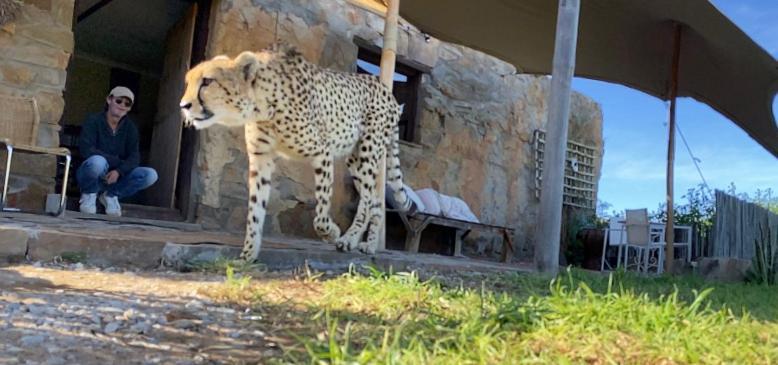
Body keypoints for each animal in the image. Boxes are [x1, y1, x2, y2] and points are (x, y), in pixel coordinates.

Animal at [179, 44, 412, 262]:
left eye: (207, 82)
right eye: (187, 82)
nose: (184, 105)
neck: (261, 103)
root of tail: (388, 92)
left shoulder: (323, 152)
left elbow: (321, 214)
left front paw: (332, 232)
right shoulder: (261, 159)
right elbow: (255, 210)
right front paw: (247, 255)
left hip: (367, 152)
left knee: (367, 200)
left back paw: (349, 239)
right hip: (355, 159)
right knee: (375, 201)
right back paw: (367, 245)